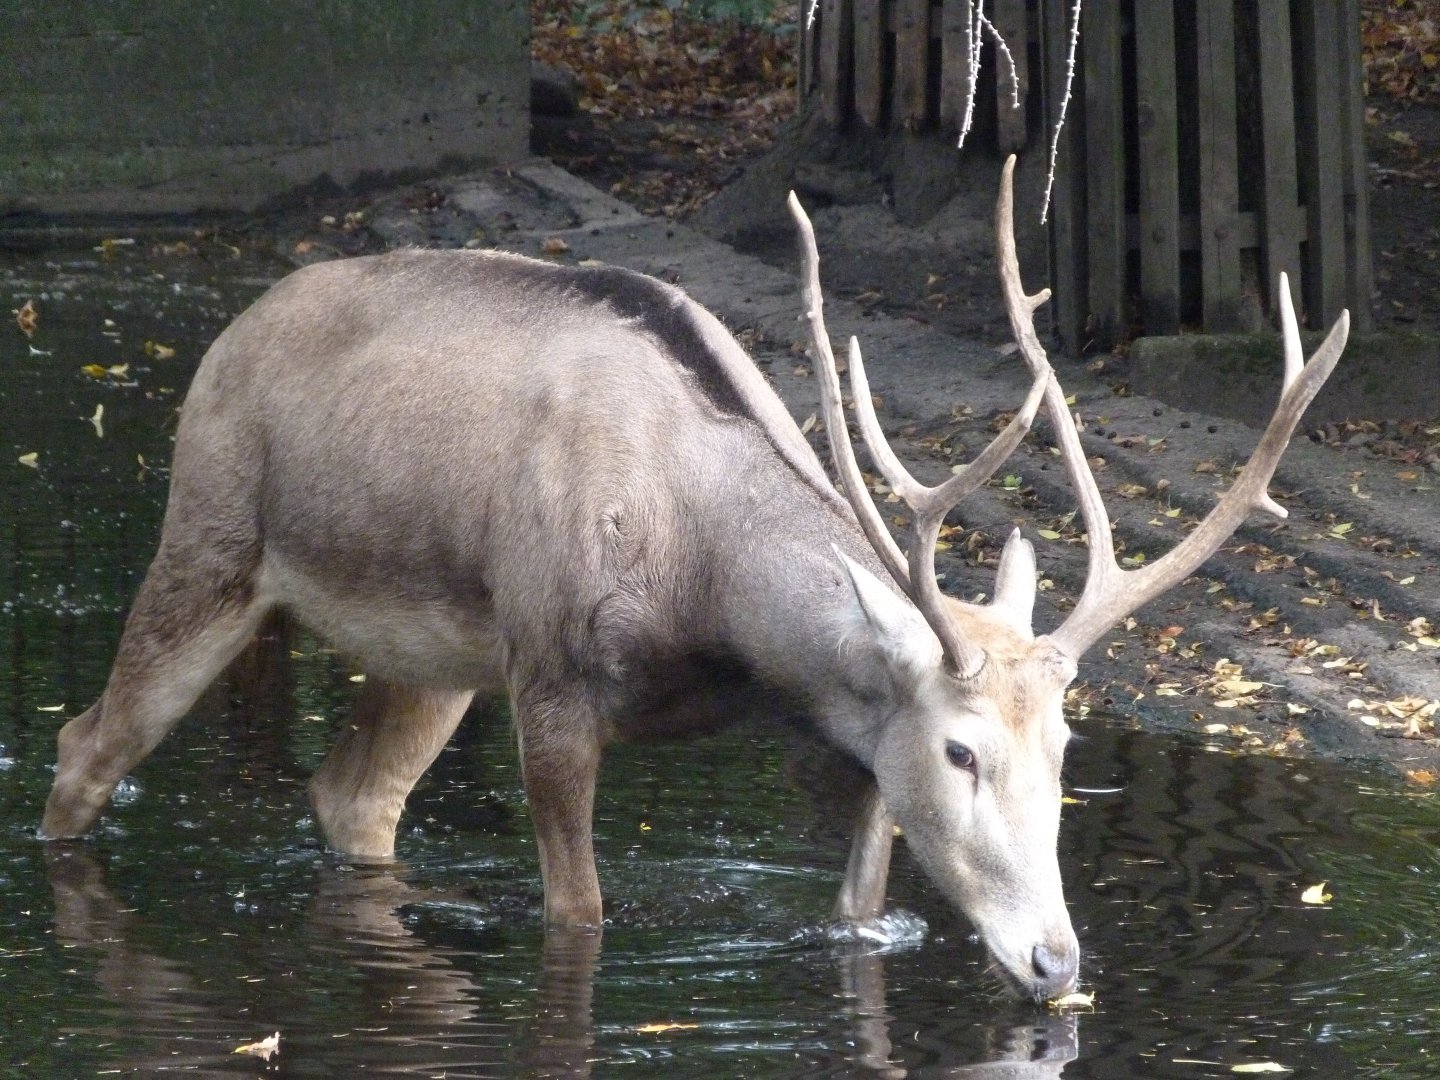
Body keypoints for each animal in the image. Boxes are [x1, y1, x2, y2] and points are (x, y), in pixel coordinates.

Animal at [39, 157, 1348, 1003]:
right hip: (210, 532)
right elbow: (581, 914)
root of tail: (231, 330)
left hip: (438, 655)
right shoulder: (554, 674)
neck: (716, 611)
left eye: (1070, 747)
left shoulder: (849, 734)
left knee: (351, 792)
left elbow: (856, 906)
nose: (1056, 962)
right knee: (85, 743)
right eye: (964, 749)